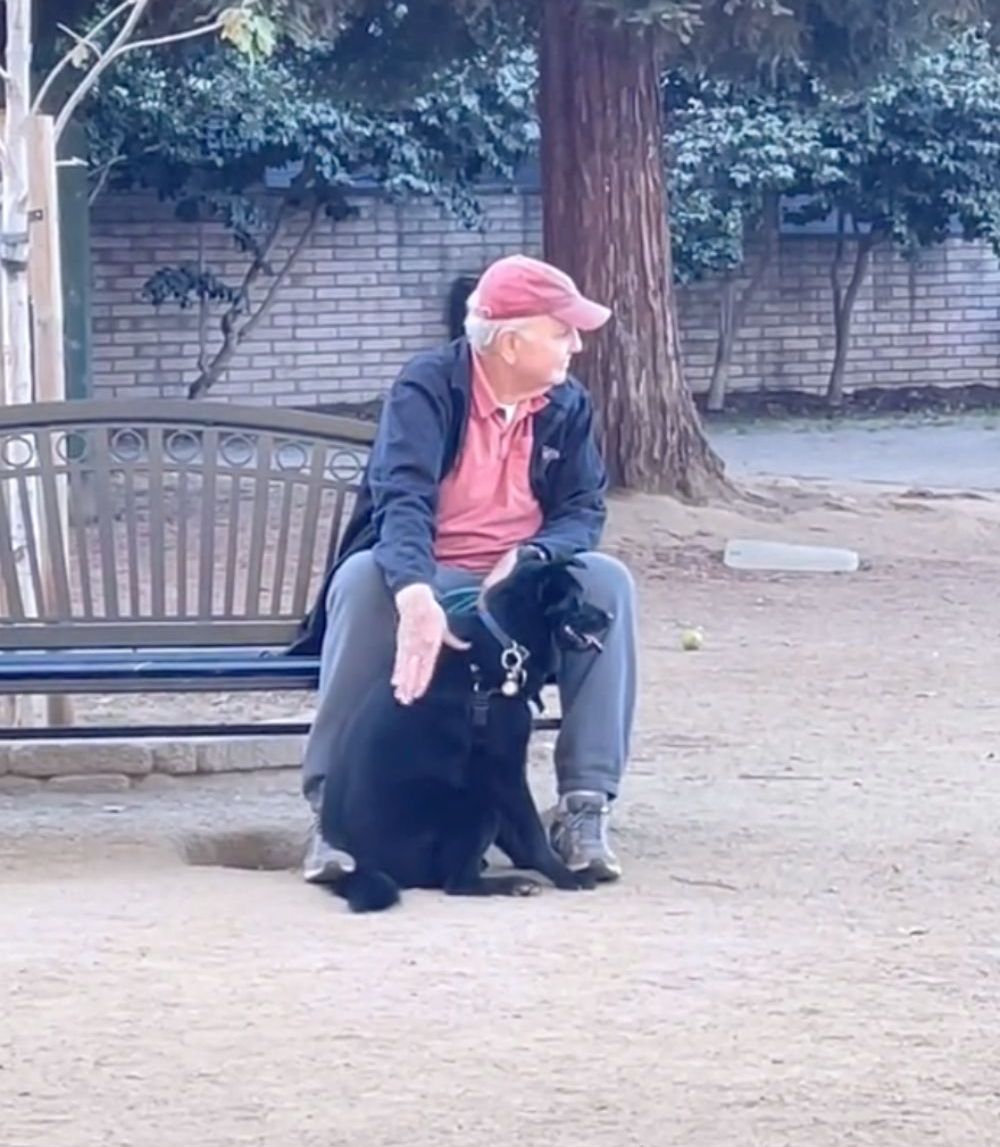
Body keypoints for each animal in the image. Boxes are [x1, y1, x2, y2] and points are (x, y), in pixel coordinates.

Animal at [318, 554, 612, 913]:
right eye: (577, 600)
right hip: (475, 803)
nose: (610, 617)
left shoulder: (493, 774)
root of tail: (366, 866)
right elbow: (531, 831)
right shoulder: (504, 769)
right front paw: (564, 876)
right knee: (457, 883)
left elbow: (518, 834)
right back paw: (511, 884)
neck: (507, 642)